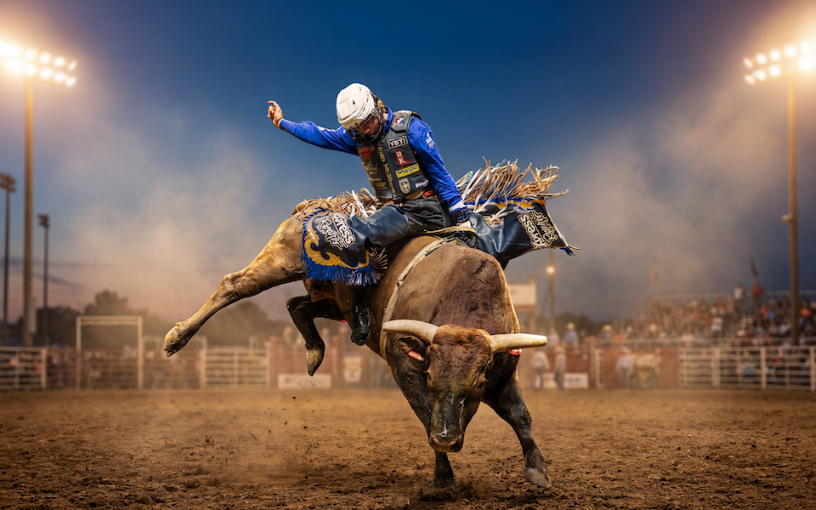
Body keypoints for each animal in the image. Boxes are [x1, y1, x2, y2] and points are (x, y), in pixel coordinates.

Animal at [164, 204, 552, 488]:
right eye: (430, 378)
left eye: (475, 383)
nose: (446, 439)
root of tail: (313, 206)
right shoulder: (403, 367)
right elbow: (425, 414)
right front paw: (443, 477)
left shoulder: (504, 373)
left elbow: (521, 416)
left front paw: (537, 470)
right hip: (281, 260)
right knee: (235, 285)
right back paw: (176, 337)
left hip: (330, 297)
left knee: (297, 305)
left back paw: (315, 351)